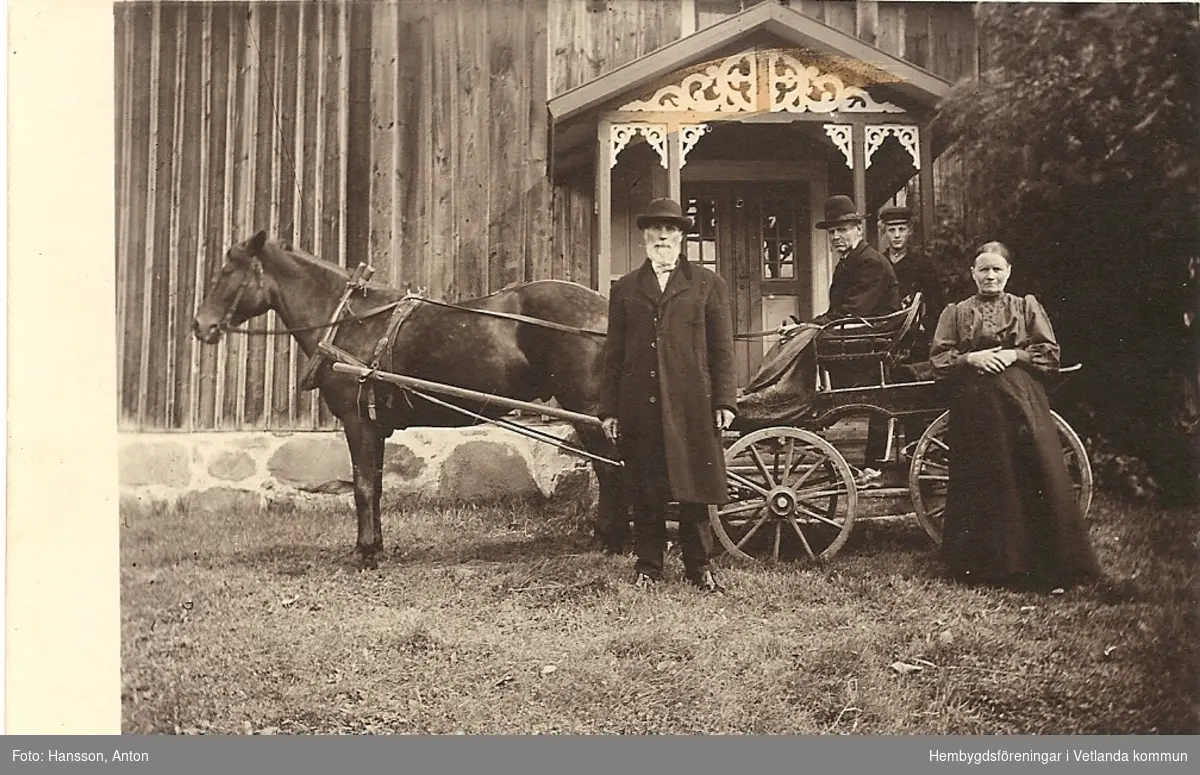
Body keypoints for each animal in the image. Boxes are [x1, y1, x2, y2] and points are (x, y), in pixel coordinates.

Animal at [192, 230, 624, 571]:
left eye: (227, 271)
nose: (201, 326)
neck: (350, 321)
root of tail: (604, 309)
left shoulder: (357, 421)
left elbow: (363, 486)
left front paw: (366, 553)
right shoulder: (375, 425)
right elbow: (377, 484)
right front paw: (377, 547)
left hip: (587, 409)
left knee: (609, 469)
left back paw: (610, 538)